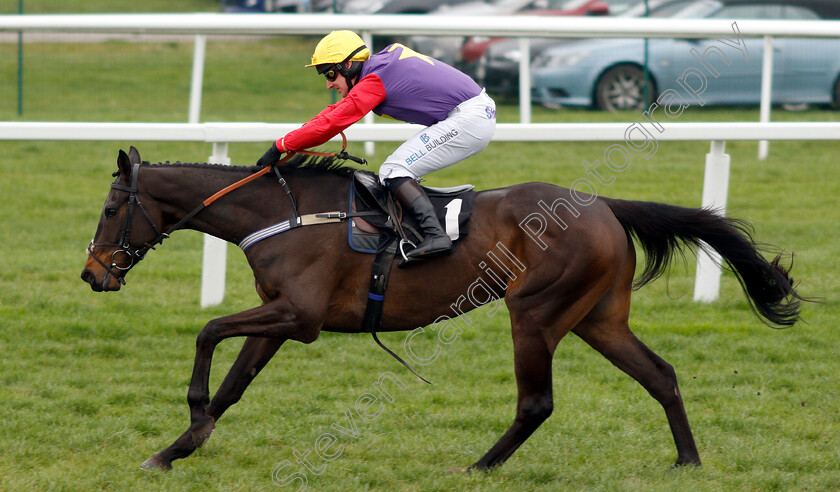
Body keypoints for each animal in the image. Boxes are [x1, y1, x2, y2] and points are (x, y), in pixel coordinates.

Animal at [82, 147, 804, 472]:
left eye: (113, 208)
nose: (92, 274)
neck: (283, 213)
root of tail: (603, 204)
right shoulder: (281, 316)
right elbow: (235, 383)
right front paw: (177, 447)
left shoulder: (301, 318)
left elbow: (208, 332)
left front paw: (190, 416)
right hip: (599, 317)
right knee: (661, 375)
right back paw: (687, 461)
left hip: (536, 311)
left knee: (537, 402)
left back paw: (481, 467)